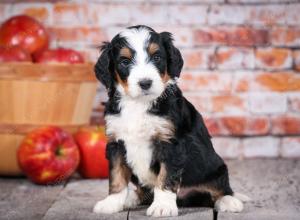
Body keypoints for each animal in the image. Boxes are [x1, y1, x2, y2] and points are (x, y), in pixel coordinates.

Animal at [92, 25, 250, 217]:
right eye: (125, 61)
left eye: (157, 57)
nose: (145, 83)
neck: (138, 104)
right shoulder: (116, 142)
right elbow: (116, 176)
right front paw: (111, 202)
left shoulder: (171, 143)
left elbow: (166, 177)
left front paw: (163, 206)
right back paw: (131, 198)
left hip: (217, 168)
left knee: (221, 189)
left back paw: (229, 201)